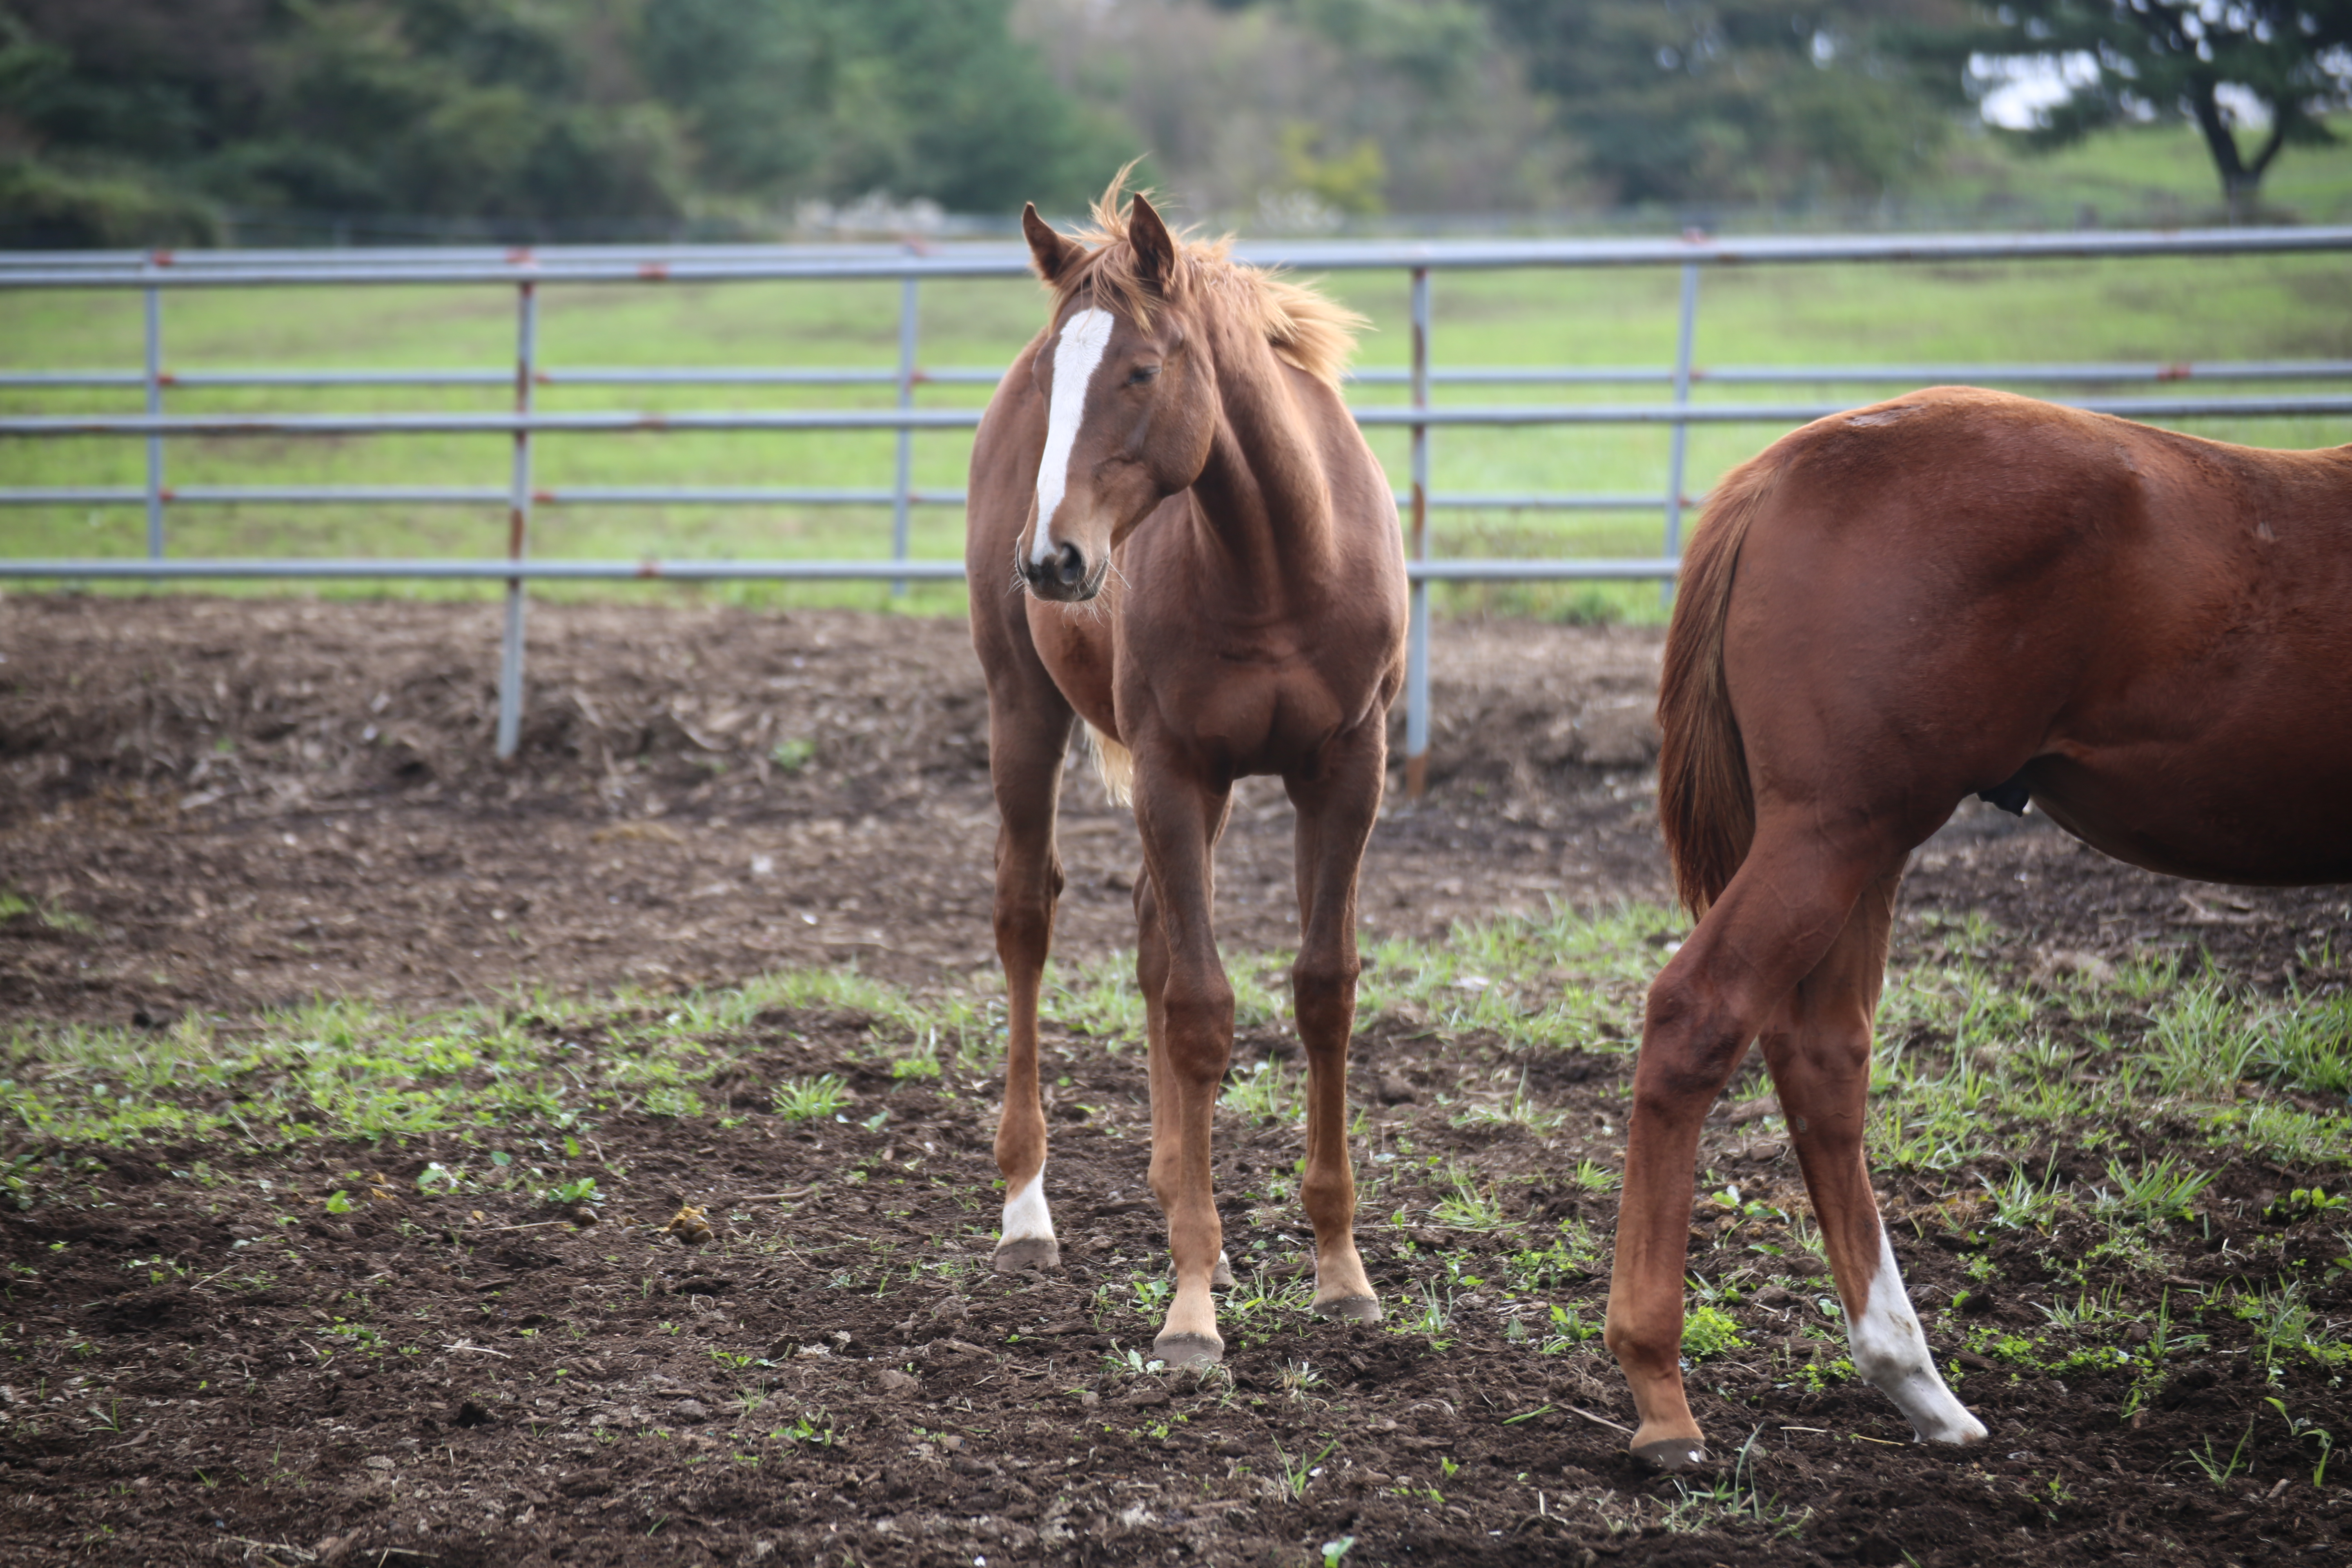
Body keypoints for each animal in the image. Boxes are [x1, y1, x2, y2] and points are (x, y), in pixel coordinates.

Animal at [964, 181, 1401, 1363]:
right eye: (1055, 374)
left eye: (1142, 370)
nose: (1055, 559)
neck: (1280, 563)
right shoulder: (1173, 770)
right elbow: (1202, 1009)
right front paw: (1192, 1307)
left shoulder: (1346, 771)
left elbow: (1322, 989)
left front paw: (1340, 1272)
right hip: (1023, 711)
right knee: (1028, 917)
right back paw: (1027, 1213)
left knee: (1151, 932)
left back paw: (1169, 1185)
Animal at [1608, 385, 2352, 1467]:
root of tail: (1789, 465)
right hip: (1834, 831)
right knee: (1699, 1015)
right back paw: (1663, 1392)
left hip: (1861, 847)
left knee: (1821, 1052)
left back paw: (1917, 1385)